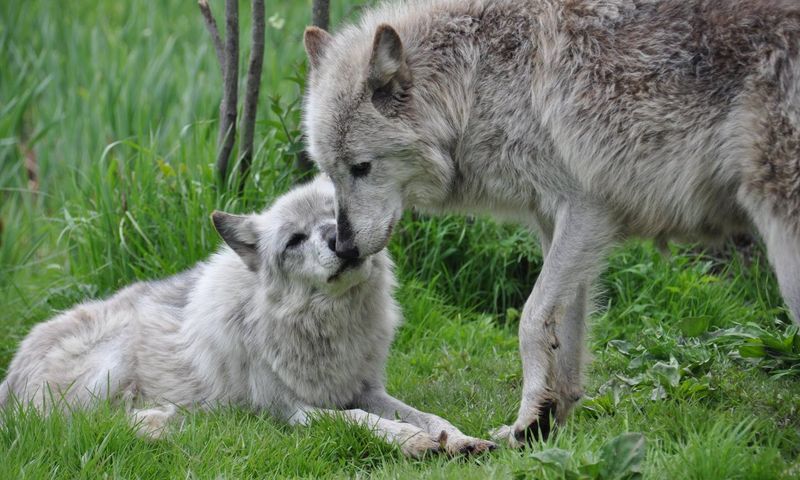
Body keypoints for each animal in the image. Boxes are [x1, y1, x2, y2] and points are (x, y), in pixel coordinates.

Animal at [0, 176, 495, 457]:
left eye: (335, 216)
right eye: (295, 240)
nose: (338, 241)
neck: (327, 328)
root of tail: (11, 371)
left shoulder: (365, 389)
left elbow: (427, 415)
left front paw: (459, 438)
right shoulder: (294, 411)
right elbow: (365, 421)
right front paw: (413, 443)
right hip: (110, 365)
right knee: (83, 424)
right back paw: (164, 427)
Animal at [301, 0, 800, 446]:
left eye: (362, 167)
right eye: (330, 172)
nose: (344, 247)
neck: (481, 82)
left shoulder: (588, 211)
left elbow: (530, 319)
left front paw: (528, 422)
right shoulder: (555, 222)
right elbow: (565, 336)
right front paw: (545, 422)